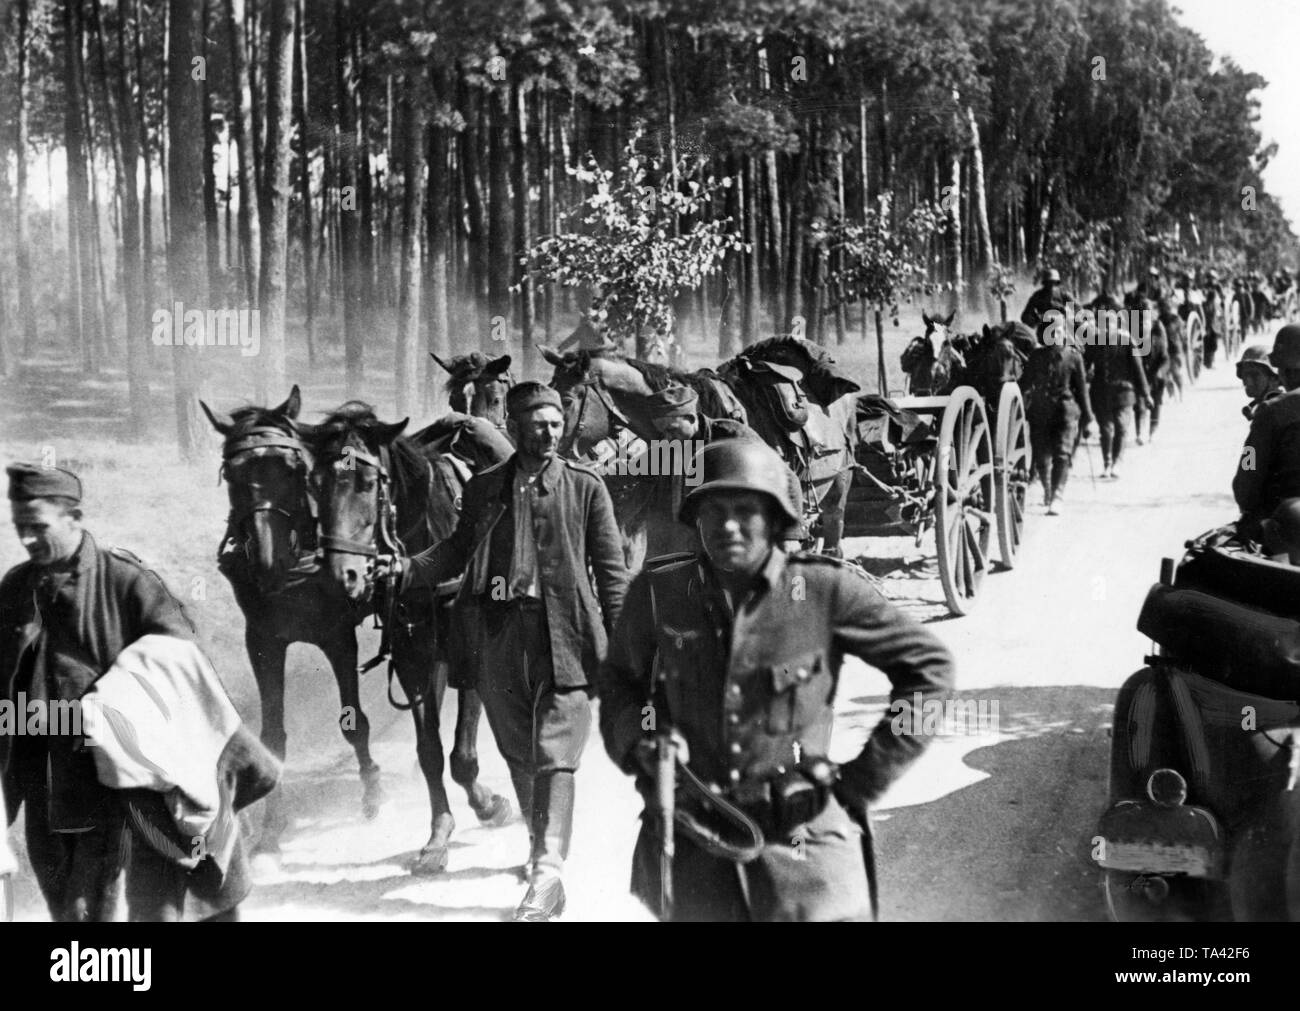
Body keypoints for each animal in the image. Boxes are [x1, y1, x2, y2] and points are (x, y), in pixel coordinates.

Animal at [197, 387, 379, 857]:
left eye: (294, 468)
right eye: (232, 474)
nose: (267, 560)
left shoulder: (337, 636)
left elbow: (354, 721)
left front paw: (372, 790)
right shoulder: (262, 639)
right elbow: (272, 736)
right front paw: (270, 829)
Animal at [308, 402, 512, 873]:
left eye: (368, 484)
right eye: (316, 484)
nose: (342, 576)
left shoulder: (470, 652)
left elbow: (462, 751)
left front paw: (487, 803)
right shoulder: (410, 655)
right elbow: (429, 749)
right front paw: (438, 834)